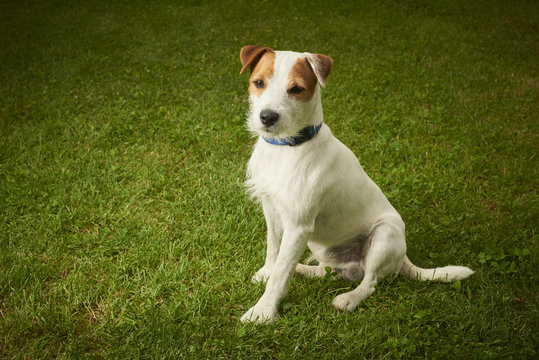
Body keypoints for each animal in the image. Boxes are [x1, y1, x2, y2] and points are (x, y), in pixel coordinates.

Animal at [239, 45, 472, 324]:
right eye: (258, 83)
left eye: (296, 89)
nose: (267, 117)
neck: (286, 149)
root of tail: (404, 258)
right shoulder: (272, 211)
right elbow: (273, 250)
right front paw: (266, 273)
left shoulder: (297, 225)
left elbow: (280, 274)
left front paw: (262, 311)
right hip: (320, 244)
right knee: (328, 271)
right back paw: (304, 269)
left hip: (384, 234)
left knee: (369, 282)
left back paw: (349, 299)